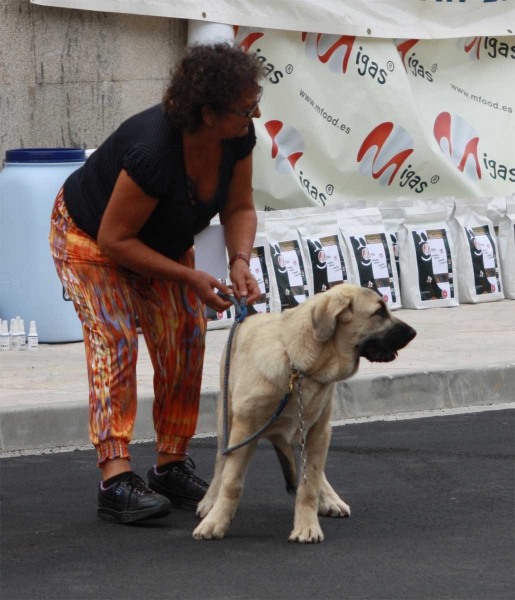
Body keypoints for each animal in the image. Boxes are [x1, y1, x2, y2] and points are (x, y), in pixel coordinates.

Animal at [192, 286, 416, 544]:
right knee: (221, 461)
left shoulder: (319, 430)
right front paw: (216, 521)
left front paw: (307, 526)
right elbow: (231, 482)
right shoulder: (244, 430)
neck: (298, 368)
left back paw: (330, 500)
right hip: (225, 420)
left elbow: (310, 485)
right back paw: (210, 501)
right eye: (379, 312)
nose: (413, 333)